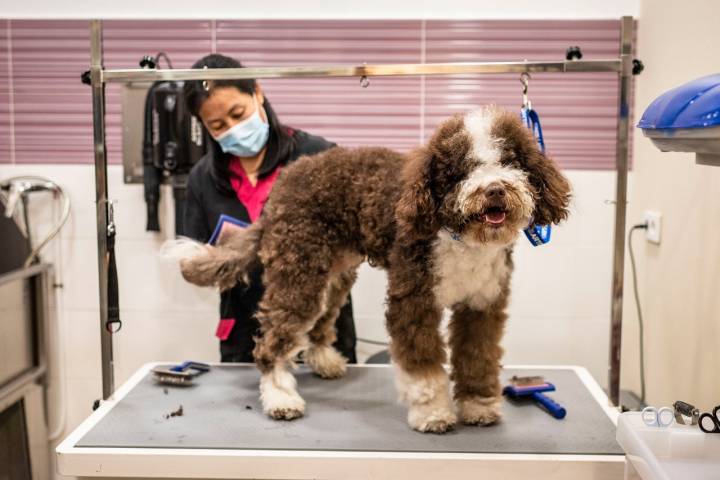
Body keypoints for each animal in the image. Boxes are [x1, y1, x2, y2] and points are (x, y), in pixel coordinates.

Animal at [173, 106, 568, 436]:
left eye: (510, 160)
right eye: (463, 168)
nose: (495, 190)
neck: (459, 235)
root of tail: (285, 182)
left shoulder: (482, 304)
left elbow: (478, 356)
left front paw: (478, 406)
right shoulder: (414, 301)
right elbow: (422, 365)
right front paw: (433, 413)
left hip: (334, 274)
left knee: (319, 323)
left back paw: (323, 361)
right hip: (299, 269)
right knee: (274, 338)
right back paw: (280, 396)